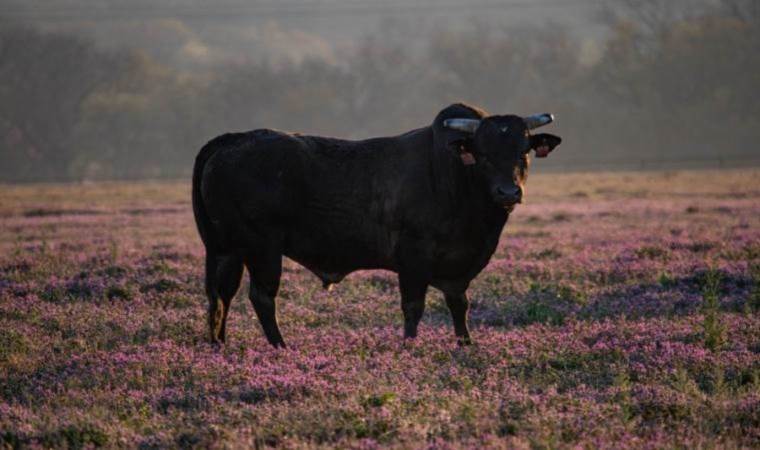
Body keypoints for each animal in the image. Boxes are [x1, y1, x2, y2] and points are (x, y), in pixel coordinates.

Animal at [193, 103, 560, 348]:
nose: (508, 192)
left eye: (523, 151)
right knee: (261, 297)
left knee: (220, 295)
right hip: (262, 248)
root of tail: (231, 140)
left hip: (225, 248)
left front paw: (465, 344)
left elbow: (460, 306)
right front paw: (409, 347)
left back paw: (220, 345)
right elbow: (413, 307)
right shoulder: (413, 257)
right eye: (482, 153)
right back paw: (280, 347)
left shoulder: (457, 268)